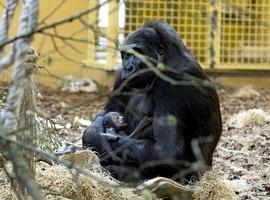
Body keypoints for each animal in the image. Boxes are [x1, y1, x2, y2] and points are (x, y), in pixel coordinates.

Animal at [83, 20, 221, 183]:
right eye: (125, 55)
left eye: (136, 53)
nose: (127, 68)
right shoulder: (120, 78)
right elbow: (106, 113)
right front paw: (93, 134)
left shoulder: (173, 82)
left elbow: (167, 152)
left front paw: (96, 139)